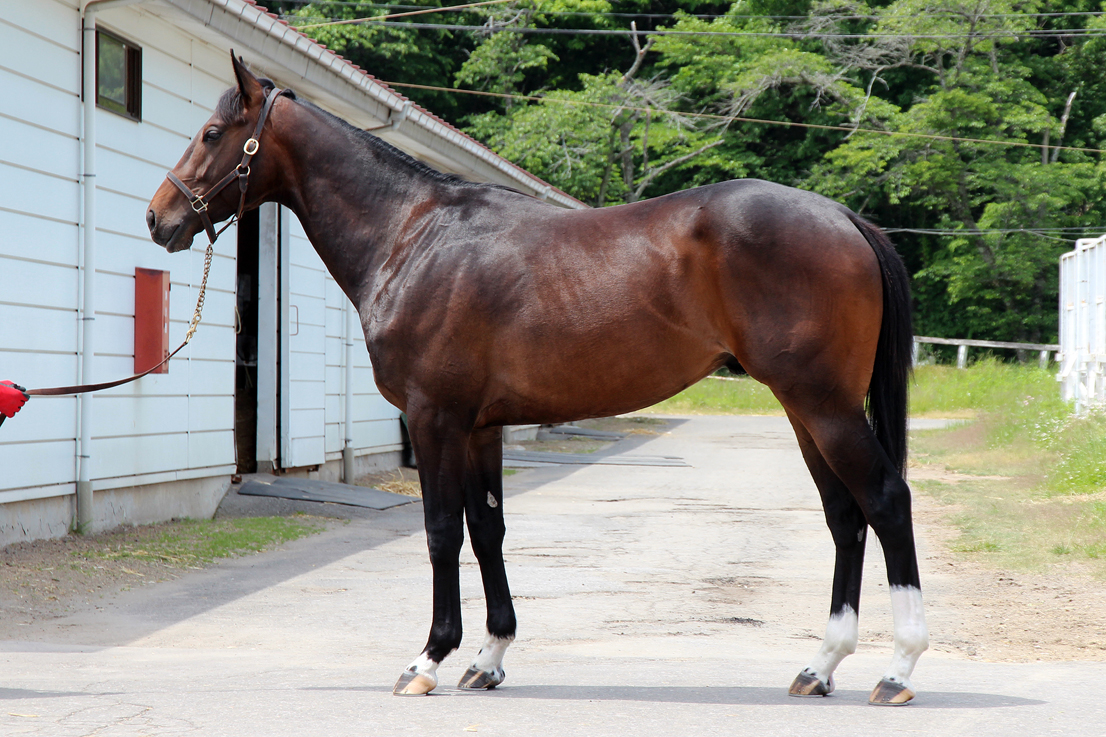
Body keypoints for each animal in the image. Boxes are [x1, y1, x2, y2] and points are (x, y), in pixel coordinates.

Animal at [144, 54, 924, 703]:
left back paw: (897, 669)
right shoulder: (480, 427)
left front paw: (428, 659)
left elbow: (440, 531)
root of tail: (844, 217)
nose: (159, 217)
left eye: (212, 132)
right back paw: (819, 667)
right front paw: (487, 660)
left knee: (885, 500)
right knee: (845, 516)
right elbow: (488, 528)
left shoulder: (435, 418)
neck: (412, 236)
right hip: (805, 408)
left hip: (823, 405)